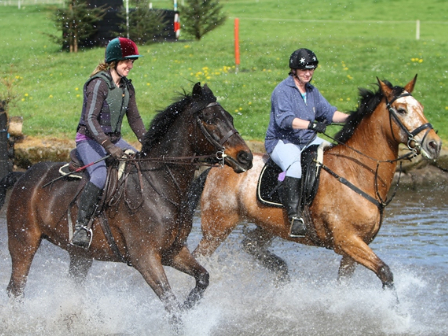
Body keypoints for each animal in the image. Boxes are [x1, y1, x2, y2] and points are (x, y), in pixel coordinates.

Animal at [5, 82, 252, 324]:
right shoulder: (145, 257)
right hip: (24, 242)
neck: (159, 185)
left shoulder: (173, 251)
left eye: (230, 117)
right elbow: (171, 304)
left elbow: (203, 278)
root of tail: (24, 176)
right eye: (209, 119)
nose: (246, 157)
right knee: (16, 288)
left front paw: (188, 306)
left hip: (80, 255)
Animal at [192, 76, 440, 292]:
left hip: (266, 227)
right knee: (198, 257)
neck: (356, 171)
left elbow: (344, 284)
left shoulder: (352, 250)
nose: (434, 144)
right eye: (401, 110)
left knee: (250, 245)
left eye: (421, 107)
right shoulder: (347, 240)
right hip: (217, 228)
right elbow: (385, 272)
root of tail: (217, 166)